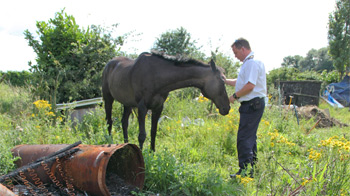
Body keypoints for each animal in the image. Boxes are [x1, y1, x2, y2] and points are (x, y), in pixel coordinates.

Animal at [102, 51, 231, 152]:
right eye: (222, 81)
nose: (227, 108)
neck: (156, 75)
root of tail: (109, 63)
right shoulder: (142, 107)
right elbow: (142, 135)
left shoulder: (158, 107)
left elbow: (153, 131)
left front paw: (152, 152)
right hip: (108, 98)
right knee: (109, 121)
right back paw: (110, 143)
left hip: (127, 103)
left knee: (124, 123)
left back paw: (125, 143)